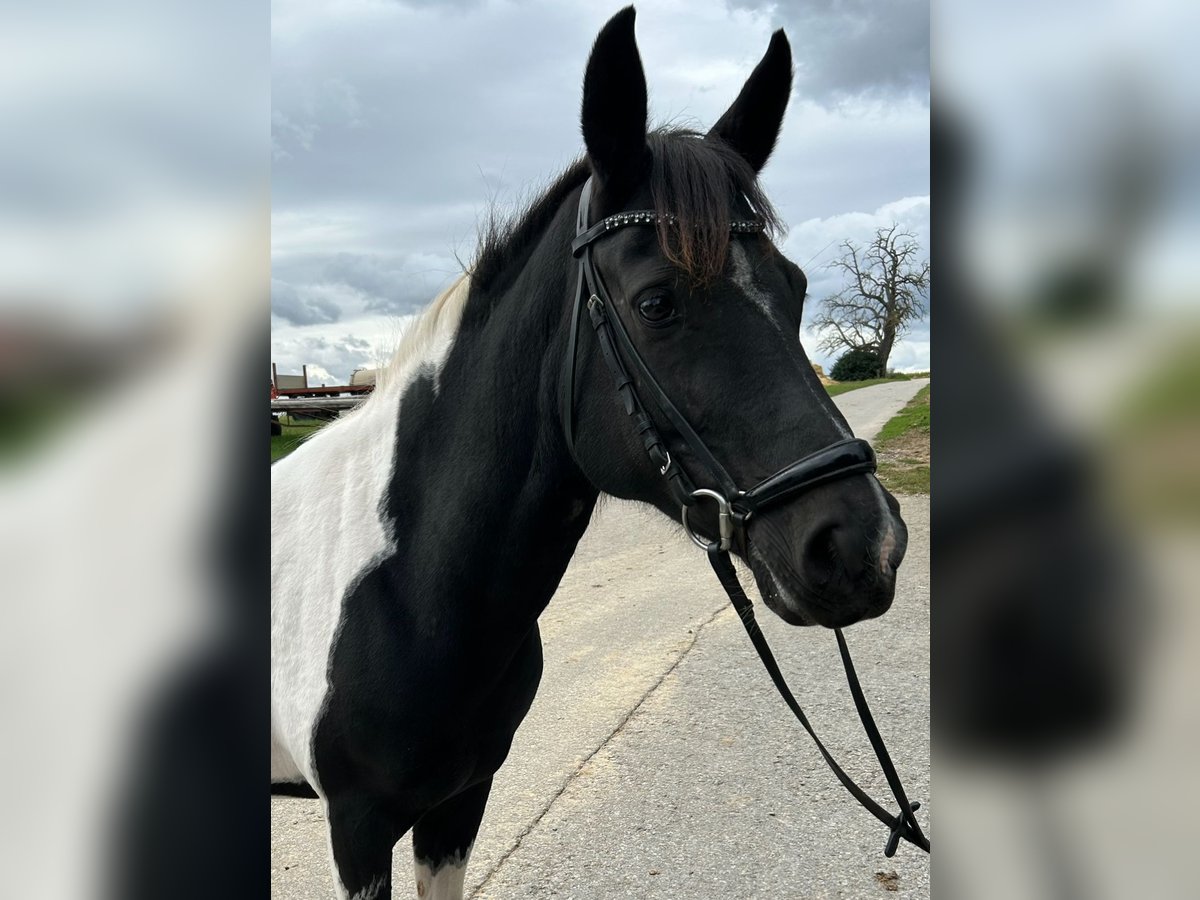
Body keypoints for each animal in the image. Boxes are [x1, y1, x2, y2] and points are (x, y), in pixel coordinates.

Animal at [272, 8, 907, 900]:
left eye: (797, 288)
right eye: (656, 303)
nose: (862, 546)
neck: (404, 582)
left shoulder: (459, 802)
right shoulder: (357, 830)